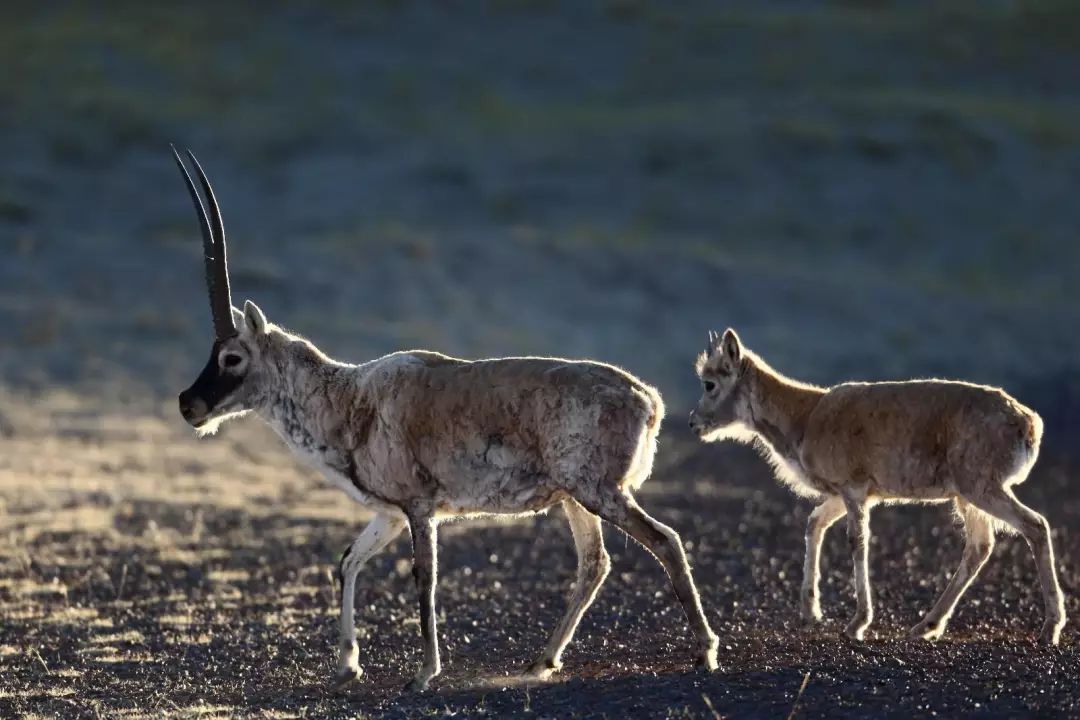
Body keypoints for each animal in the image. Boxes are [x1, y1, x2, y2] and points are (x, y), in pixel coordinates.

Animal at [172, 147, 721, 690]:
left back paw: (705, 652)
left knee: (665, 541)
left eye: (233, 358)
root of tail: (647, 399)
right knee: (595, 562)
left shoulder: (419, 508)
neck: (350, 397)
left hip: (600, 492)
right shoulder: (390, 513)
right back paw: (542, 660)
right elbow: (347, 562)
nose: (188, 405)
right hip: (575, 497)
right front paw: (348, 663)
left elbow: (424, 576)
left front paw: (423, 672)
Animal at [691, 330, 1062, 643]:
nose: (694, 422)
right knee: (980, 545)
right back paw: (926, 625)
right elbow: (814, 523)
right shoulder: (843, 493)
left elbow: (857, 542)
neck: (804, 419)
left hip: (981, 485)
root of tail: (1031, 424)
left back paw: (1050, 628)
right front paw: (811, 611)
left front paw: (856, 623)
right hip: (967, 494)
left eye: (709, 383)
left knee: (1035, 525)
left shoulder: (853, 489)